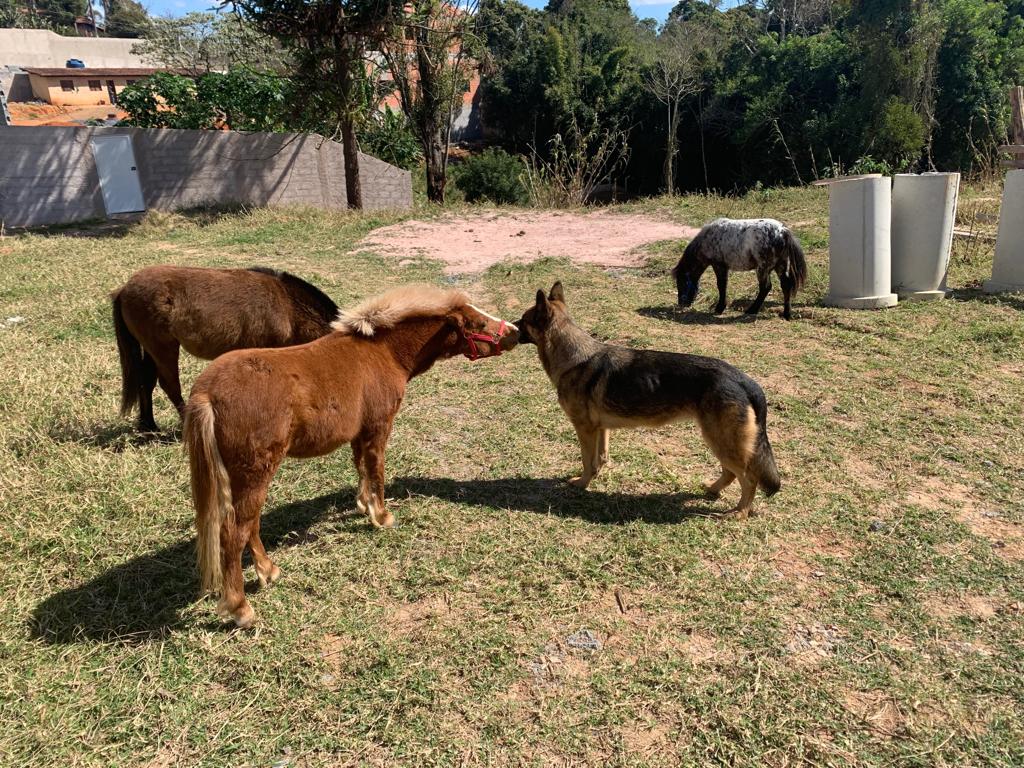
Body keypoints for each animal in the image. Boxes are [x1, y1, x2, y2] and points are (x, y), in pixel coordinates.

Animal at [111, 264, 337, 434]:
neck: (287, 305)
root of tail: (124, 289)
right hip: (163, 348)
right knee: (169, 385)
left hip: (151, 350)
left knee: (146, 382)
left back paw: (148, 426)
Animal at [184, 286, 516, 626]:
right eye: (477, 323)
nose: (515, 332)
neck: (382, 352)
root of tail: (206, 394)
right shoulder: (379, 426)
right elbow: (376, 469)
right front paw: (382, 516)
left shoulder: (360, 432)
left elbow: (361, 467)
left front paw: (363, 505)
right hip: (255, 473)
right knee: (234, 533)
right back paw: (241, 607)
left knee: (249, 524)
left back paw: (268, 570)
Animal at [516, 282, 778, 518]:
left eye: (523, 320)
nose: (511, 327)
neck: (573, 357)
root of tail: (743, 379)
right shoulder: (601, 429)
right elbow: (600, 458)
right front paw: (596, 476)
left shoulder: (584, 429)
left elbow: (587, 461)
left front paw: (582, 483)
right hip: (720, 441)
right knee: (732, 473)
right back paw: (712, 490)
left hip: (720, 440)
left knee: (749, 478)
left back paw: (740, 512)